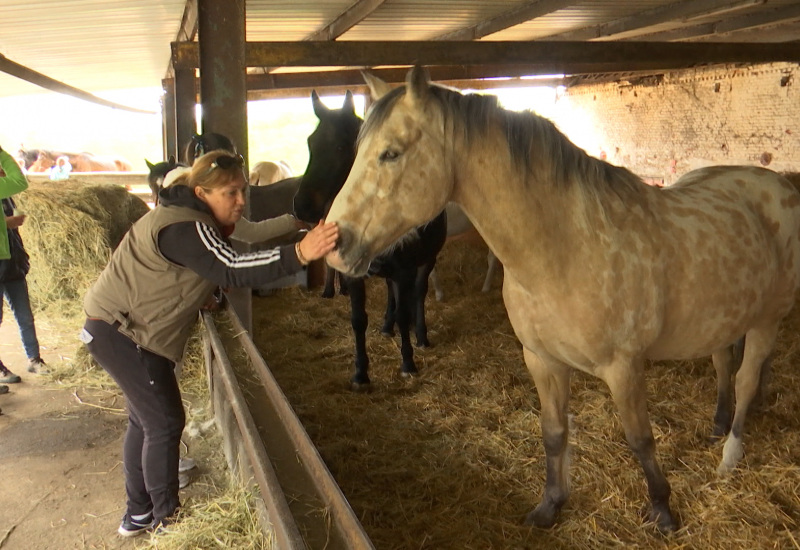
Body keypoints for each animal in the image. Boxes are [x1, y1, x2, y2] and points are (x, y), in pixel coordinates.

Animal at [294, 91, 446, 392]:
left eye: (342, 146)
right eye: (310, 143)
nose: (302, 206)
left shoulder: (405, 271)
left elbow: (406, 312)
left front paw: (408, 363)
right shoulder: (357, 276)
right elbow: (358, 320)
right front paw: (360, 373)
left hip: (427, 260)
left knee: (418, 294)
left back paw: (420, 335)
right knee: (391, 295)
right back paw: (387, 326)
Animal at [322, 67, 800, 536]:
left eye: (390, 154)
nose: (335, 244)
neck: (566, 247)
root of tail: (779, 184)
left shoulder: (624, 368)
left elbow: (640, 439)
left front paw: (662, 510)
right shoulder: (542, 360)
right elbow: (553, 432)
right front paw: (550, 505)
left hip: (767, 319)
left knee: (746, 380)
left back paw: (730, 455)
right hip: (724, 318)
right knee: (724, 366)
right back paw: (718, 424)